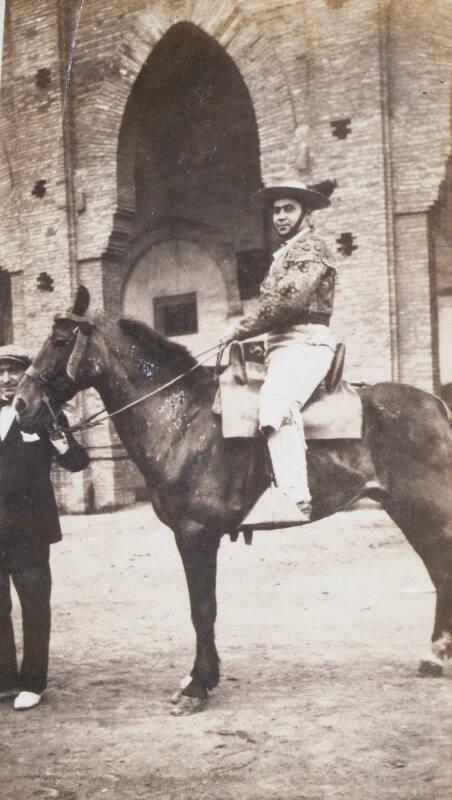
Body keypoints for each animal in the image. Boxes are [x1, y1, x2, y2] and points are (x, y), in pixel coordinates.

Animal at [14, 286, 452, 712]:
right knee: (437, 571)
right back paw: (435, 654)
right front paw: (199, 679)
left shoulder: (195, 534)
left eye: (59, 340)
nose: (21, 404)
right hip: (406, 511)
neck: (181, 417)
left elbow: (202, 608)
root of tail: (435, 404)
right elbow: (202, 608)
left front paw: (198, 685)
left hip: (427, 511)